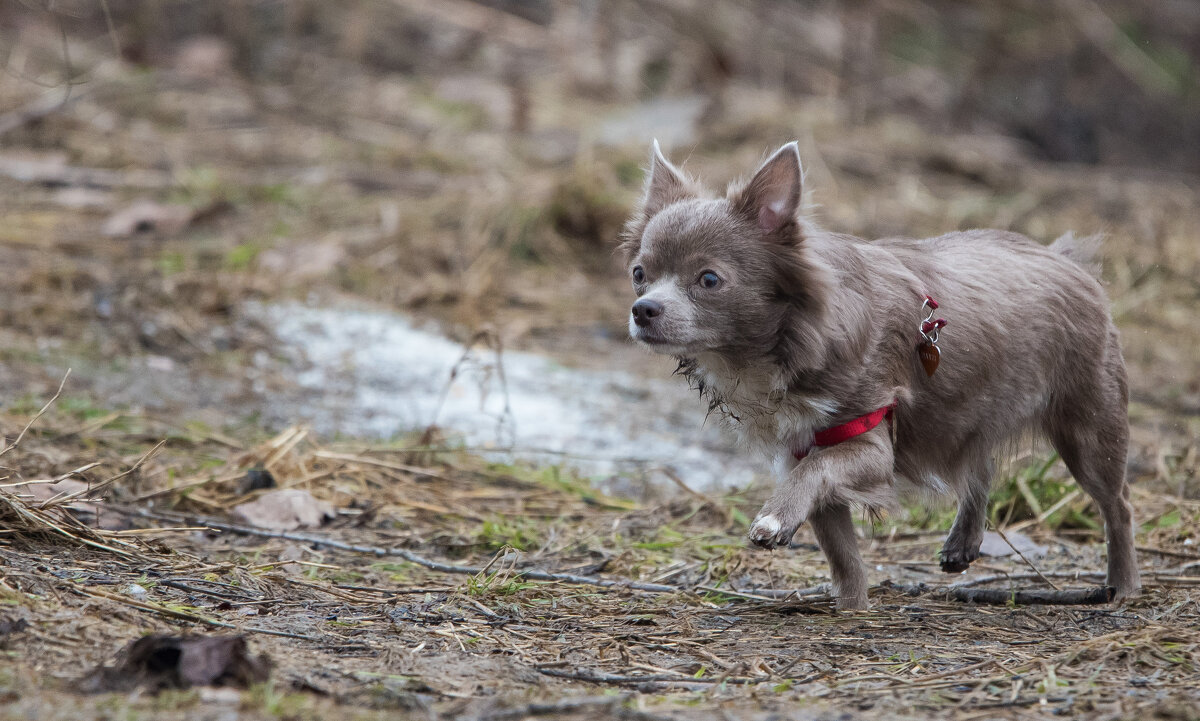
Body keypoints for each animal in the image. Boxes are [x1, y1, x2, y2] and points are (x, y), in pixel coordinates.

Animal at [624, 139, 1137, 607]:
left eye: (709, 280)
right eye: (639, 274)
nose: (642, 309)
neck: (785, 344)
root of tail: (1065, 259)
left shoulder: (869, 443)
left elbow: (817, 472)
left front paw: (775, 518)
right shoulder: (804, 449)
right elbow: (842, 554)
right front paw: (853, 610)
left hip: (1090, 429)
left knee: (1118, 506)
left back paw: (1123, 586)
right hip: (974, 413)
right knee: (980, 463)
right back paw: (963, 542)